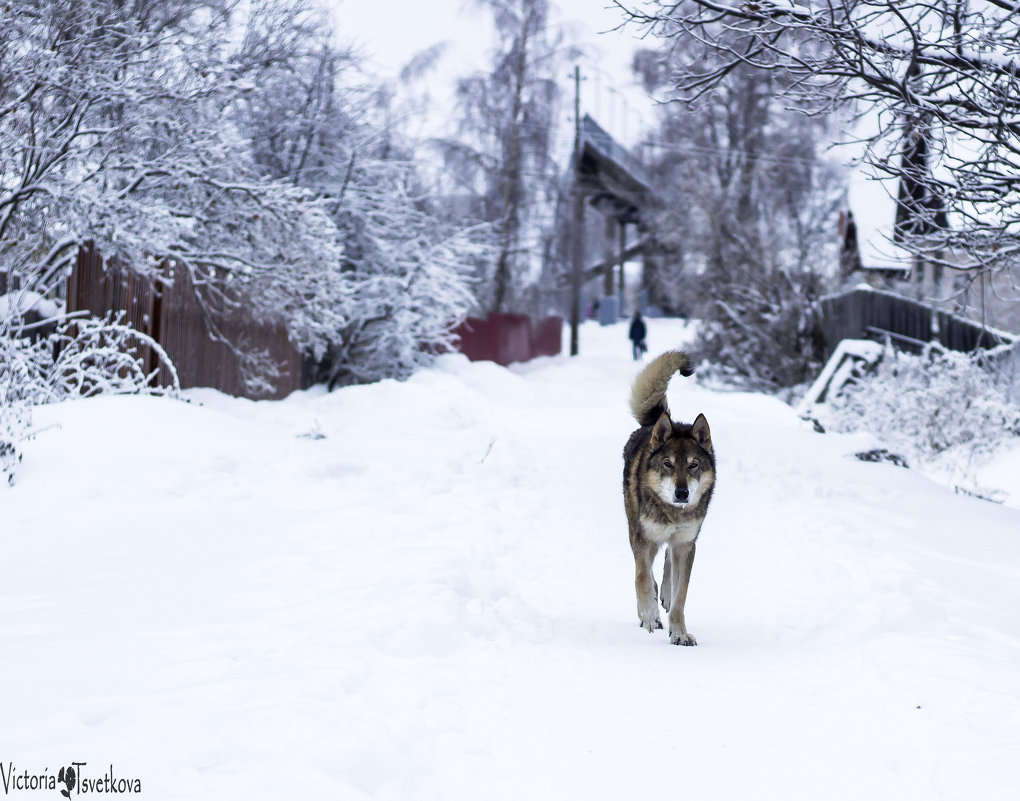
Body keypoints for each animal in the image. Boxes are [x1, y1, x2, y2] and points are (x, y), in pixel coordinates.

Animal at [620, 351, 718, 644]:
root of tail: (656, 422)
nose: (682, 493)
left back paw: (662, 595)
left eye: (693, 465)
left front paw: (680, 634)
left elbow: (680, 598)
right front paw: (649, 615)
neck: (672, 513)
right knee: (647, 571)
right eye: (668, 464)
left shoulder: (686, 545)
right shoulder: (643, 538)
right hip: (636, 530)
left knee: (665, 566)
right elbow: (641, 578)